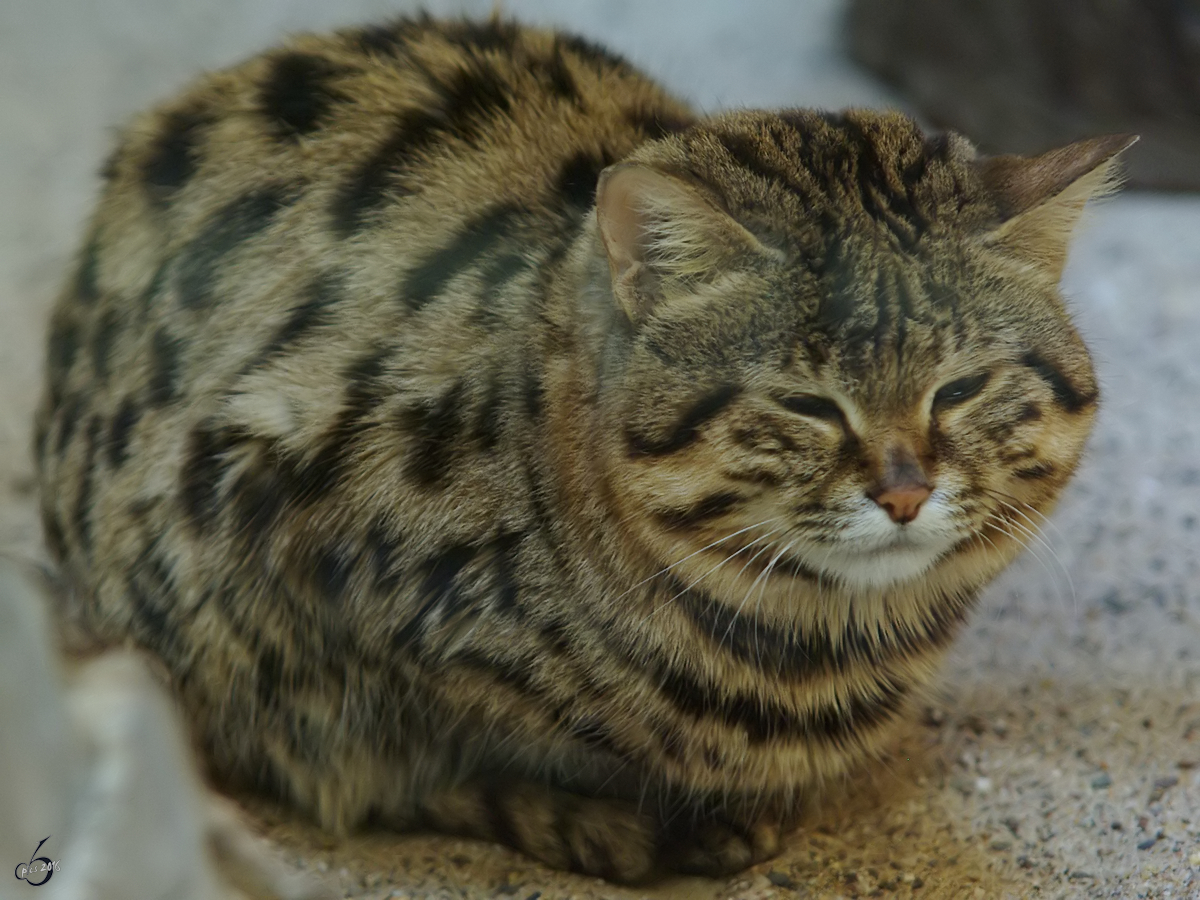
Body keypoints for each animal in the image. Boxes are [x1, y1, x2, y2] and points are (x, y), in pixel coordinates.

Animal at [32, 14, 1128, 883]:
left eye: (961, 388)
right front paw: (605, 818)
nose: (905, 491)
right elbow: (378, 755)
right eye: (808, 405)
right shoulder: (275, 555)